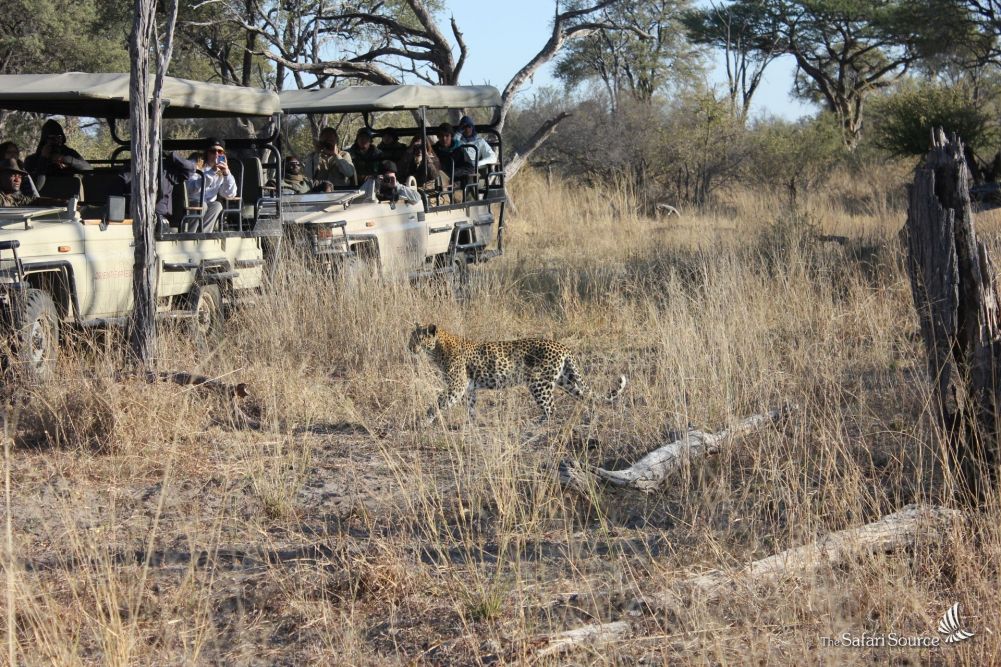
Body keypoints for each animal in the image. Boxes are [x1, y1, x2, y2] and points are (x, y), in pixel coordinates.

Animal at [406, 324, 624, 422]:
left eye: (417, 339)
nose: (409, 348)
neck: (438, 349)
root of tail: (563, 346)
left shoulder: (456, 387)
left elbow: (438, 402)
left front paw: (424, 421)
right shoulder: (469, 388)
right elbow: (471, 406)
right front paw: (472, 424)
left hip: (539, 383)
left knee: (551, 409)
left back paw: (540, 424)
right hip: (565, 380)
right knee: (584, 396)